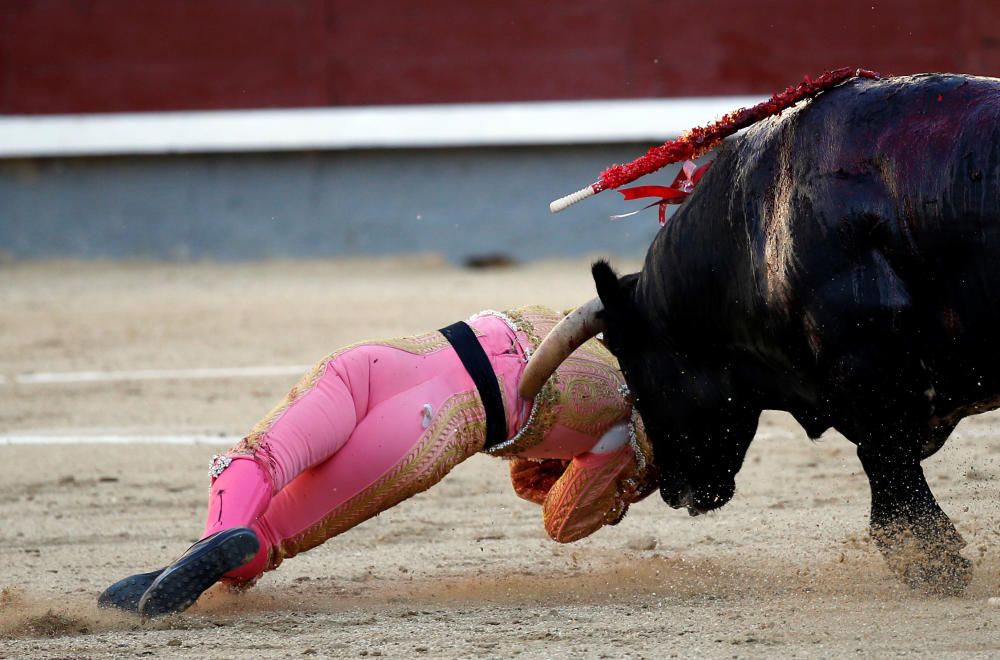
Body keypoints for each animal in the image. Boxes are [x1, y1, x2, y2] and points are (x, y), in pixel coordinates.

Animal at [540, 75, 1000, 596]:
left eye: (631, 363)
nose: (673, 492)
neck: (753, 231)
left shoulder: (867, 368)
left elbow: (883, 459)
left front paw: (931, 565)